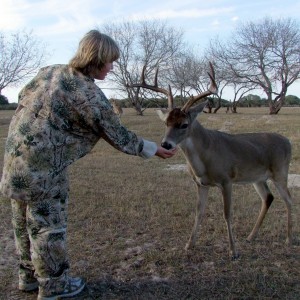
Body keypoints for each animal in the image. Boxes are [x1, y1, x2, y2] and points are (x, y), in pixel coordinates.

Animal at [131, 62, 292, 258]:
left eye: (184, 124)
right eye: (166, 123)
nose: (166, 144)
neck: (204, 160)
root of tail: (288, 141)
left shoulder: (227, 180)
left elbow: (227, 214)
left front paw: (233, 251)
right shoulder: (201, 184)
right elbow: (198, 213)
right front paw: (189, 245)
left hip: (280, 172)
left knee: (289, 200)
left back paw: (288, 239)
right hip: (258, 178)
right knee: (268, 197)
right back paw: (250, 236)